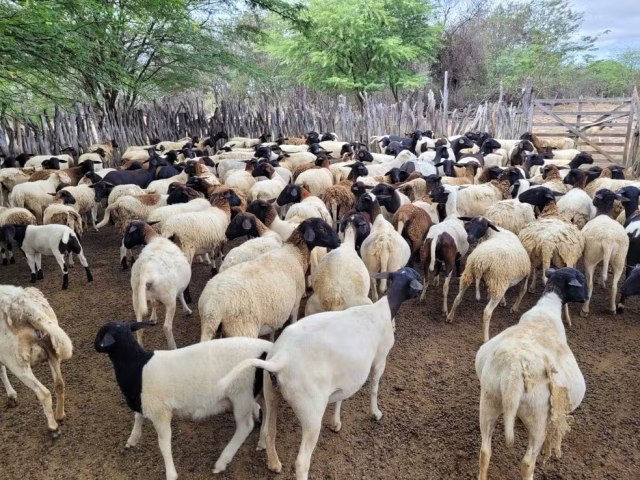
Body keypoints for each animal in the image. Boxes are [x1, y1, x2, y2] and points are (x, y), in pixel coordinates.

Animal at [0, 284, 73, 438]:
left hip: (16, 360)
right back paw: (60, 415)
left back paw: (53, 427)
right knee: (59, 384)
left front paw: (11, 395)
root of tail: (24, 306)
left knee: (43, 393)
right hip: (52, 348)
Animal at [95, 318, 272, 480]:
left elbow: (164, 443)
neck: (137, 366)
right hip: (256, 390)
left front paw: (171, 473)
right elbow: (138, 416)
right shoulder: (143, 401)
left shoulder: (160, 412)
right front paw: (133, 439)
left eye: (101, 335)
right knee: (266, 407)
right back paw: (263, 440)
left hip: (241, 394)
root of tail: (266, 348)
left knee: (245, 426)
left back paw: (222, 462)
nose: (94, 345)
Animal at [199, 218, 340, 342]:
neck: (295, 253)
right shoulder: (295, 302)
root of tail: (212, 309)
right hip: (242, 329)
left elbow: (273, 329)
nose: (339, 240)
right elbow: (293, 320)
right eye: (321, 228)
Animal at [225, 266, 424, 480]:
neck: (383, 310)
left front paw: (336, 422)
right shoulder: (380, 358)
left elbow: (341, 397)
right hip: (311, 410)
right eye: (417, 277)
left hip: (271, 393)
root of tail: (280, 360)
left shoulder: (345, 375)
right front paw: (376, 413)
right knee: (302, 461)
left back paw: (274, 463)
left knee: (270, 431)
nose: (420, 292)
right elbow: (374, 387)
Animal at [472, 268, 588, 480]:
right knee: (527, 462)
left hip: (488, 401)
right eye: (582, 280)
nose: (586, 298)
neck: (546, 309)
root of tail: (514, 370)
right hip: (538, 418)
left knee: (485, 451)